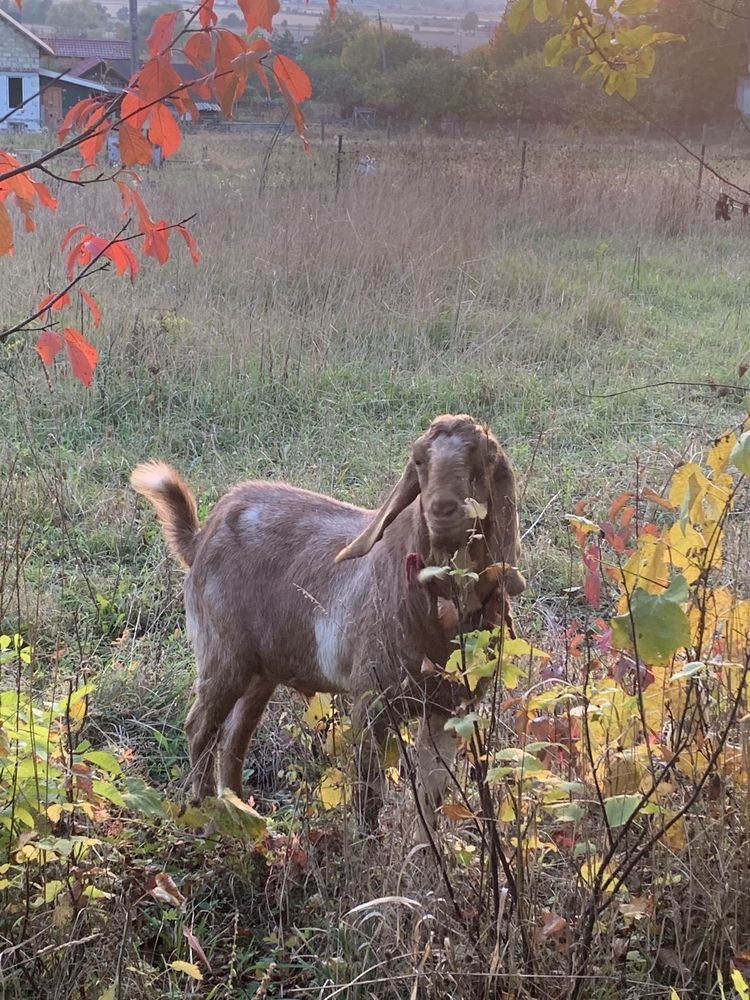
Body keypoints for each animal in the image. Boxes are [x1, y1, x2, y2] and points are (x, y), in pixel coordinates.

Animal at [132, 410, 524, 832]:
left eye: (483, 461)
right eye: (419, 461)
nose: (443, 510)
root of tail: (201, 537)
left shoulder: (450, 710)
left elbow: (432, 798)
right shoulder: (371, 701)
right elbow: (369, 798)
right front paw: (368, 845)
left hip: (262, 670)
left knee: (235, 737)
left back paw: (245, 819)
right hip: (223, 654)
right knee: (200, 727)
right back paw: (206, 816)